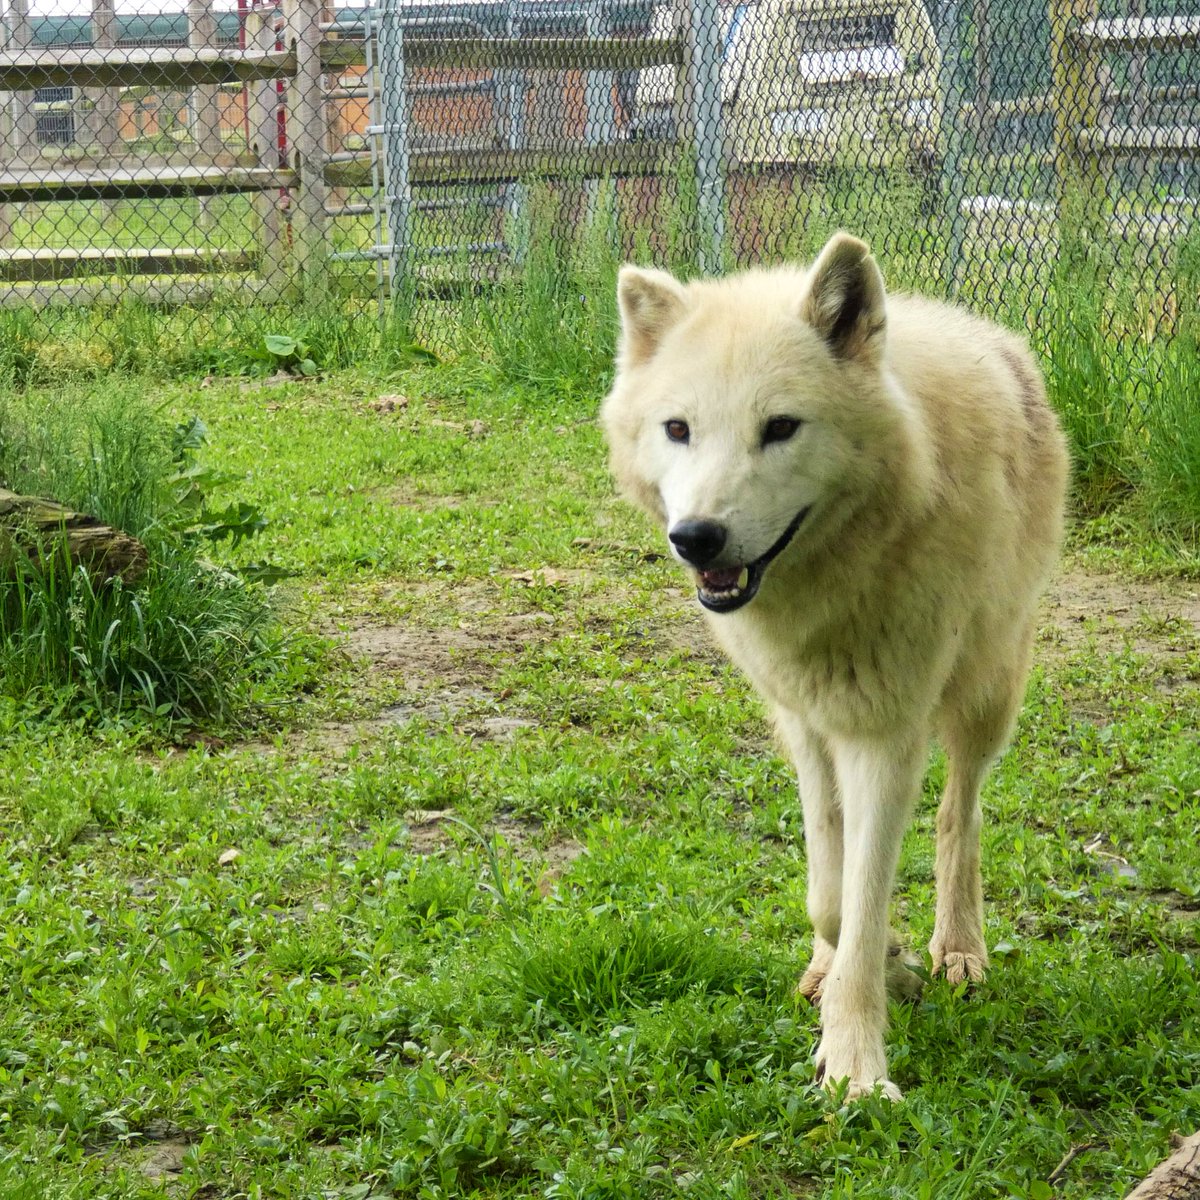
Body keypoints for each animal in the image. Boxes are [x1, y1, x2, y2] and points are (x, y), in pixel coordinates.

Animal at [601, 232, 1069, 1100]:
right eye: (678, 428)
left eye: (781, 426)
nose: (697, 537)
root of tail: (990, 334)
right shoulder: (806, 721)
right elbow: (829, 889)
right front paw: (866, 961)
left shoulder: (887, 735)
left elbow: (867, 890)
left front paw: (855, 1065)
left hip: (987, 692)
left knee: (961, 813)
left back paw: (957, 949)